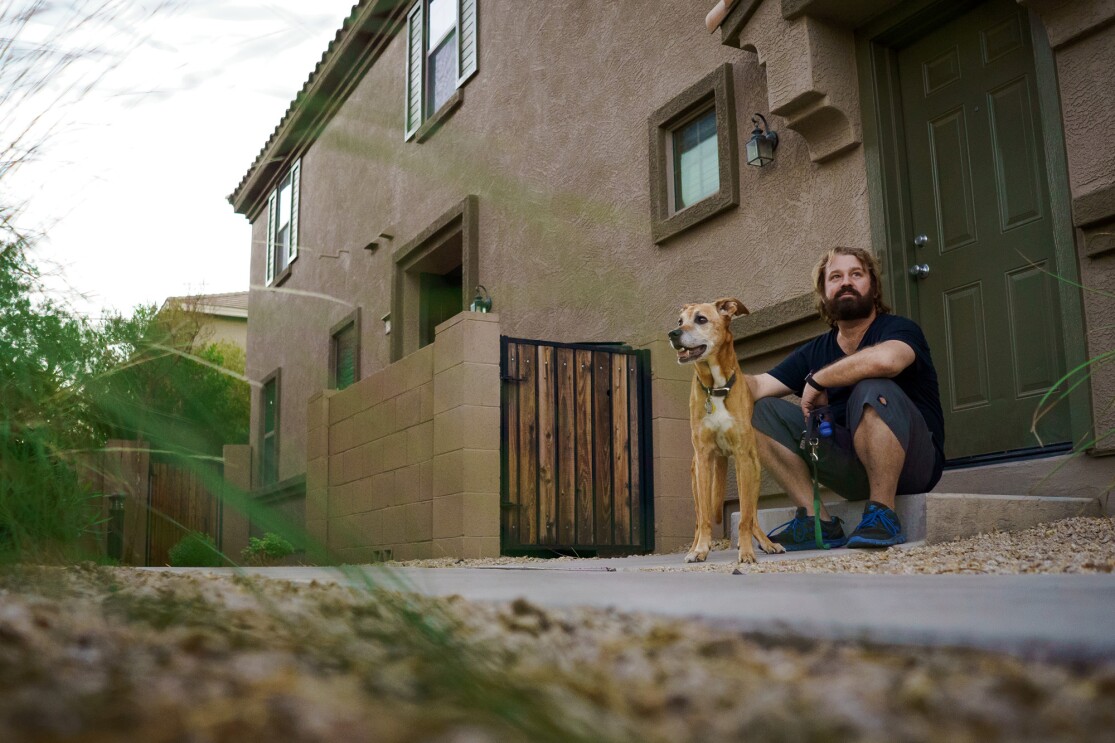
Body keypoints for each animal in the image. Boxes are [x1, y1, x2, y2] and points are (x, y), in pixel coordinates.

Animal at [669, 296, 784, 562]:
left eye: (701, 319)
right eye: (680, 321)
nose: (673, 334)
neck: (716, 388)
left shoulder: (743, 457)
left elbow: (745, 516)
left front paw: (747, 552)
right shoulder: (703, 458)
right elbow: (704, 518)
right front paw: (700, 550)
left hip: (753, 469)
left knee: (751, 514)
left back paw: (765, 543)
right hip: (697, 475)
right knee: (700, 516)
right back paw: (694, 547)